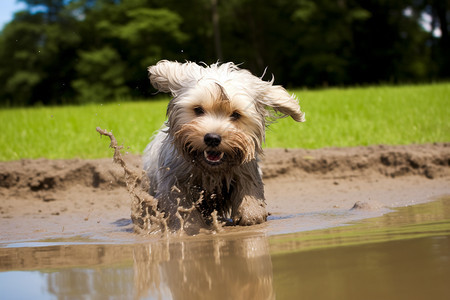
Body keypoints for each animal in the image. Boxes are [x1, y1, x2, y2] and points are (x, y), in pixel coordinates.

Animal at [143, 60, 306, 230]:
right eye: (198, 109)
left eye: (236, 114)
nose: (212, 138)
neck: (211, 170)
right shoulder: (174, 179)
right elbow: (180, 204)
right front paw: (190, 224)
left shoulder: (245, 170)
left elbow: (249, 189)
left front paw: (251, 213)